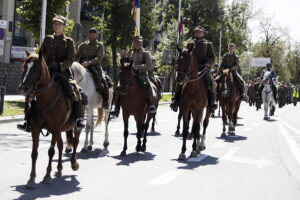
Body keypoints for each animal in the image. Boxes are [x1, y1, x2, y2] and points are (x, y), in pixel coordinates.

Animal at [19, 50, 81, 190]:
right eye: (24, 66)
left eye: (36, 68)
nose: (23, 88)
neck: (46, 98)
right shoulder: (36, 128)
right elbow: (34, 152)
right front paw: (31, 179)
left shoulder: (55, 128)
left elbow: (51, 151)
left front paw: (46, 177)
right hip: (58, 130)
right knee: (61, 145)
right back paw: (59, 169)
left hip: (74, 127)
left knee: (75, 142)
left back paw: (74, 164)